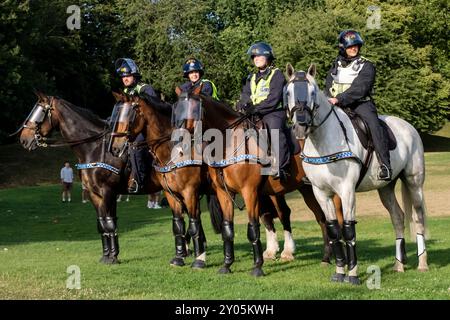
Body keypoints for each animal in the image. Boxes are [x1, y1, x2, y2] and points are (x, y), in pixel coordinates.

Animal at [17, 91, 163, 264]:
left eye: (40, 112)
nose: (24, 139)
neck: (95, 148)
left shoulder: (107, 192)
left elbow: (109, 223)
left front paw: (113, 257)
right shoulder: (95, 194)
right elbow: (102, 224)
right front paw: (107, 255)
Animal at [108, 91, 215, 268]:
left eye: (130, 116)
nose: (115, 148)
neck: (173, 151)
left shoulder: (190, 192)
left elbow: (194, 223)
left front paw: (199, 259)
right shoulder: (171, 194)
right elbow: (178, 224)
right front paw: (179, 257)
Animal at [174, 91, 342, 276]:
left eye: (193, 110)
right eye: (175, 110)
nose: (179, 142)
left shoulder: (250, 192)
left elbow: (253, 228)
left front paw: (257, 266)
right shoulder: (224, 193)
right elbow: (227, 229)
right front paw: (226, 264)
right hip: (308, 190)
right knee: (322, 219)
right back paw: (326, 257)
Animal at [284, 63, 428, 284]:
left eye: (312, 91)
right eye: (288, 92)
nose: (301, 125)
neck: (323, 142)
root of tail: (409, 127)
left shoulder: (347, 191)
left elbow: (348, 229)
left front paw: (352, 275)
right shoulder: (321, 193)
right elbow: (334, 230)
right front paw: (339, 272)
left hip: (414, 182)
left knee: (418, 217)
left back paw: (422, 264)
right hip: (386, 187)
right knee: (397, 217)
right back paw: (398, 266)